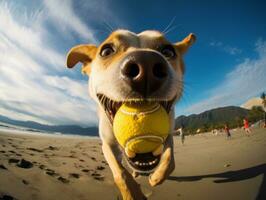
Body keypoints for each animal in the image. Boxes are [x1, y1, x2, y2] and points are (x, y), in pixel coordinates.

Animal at [66, 29, 195, 200]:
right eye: (106, 51)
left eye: (168, 51)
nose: (146, 64)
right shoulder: (107, 144)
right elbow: (120, 172)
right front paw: (132, 193)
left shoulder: (168, 134)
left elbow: (169, 160)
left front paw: (156, 177)